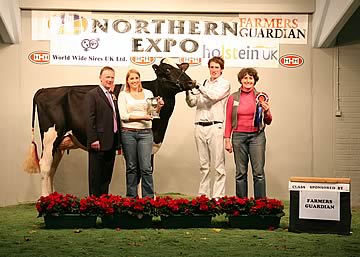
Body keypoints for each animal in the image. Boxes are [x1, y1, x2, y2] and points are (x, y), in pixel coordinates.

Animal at [23, 58, 195, 194]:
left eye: (180, 68)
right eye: (167, 69)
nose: (191, 82)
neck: (161, 126)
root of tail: (45, 90)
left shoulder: (151, 144)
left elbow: (148, 170)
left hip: (59, 144)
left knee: (52, 169)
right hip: (50, 137)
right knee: (45, 167)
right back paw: (45, 199)